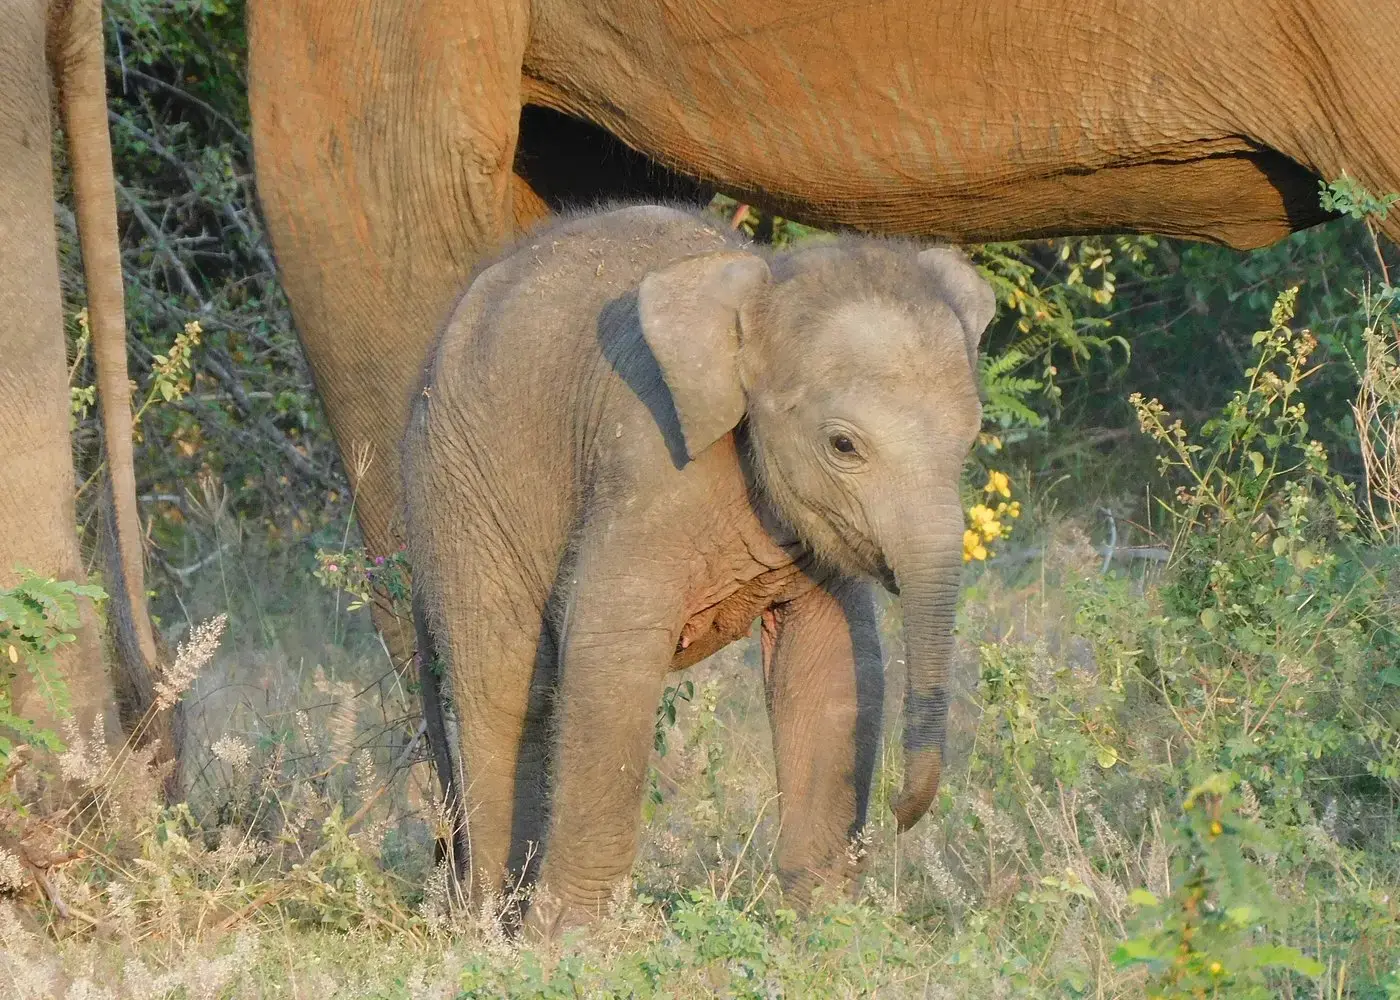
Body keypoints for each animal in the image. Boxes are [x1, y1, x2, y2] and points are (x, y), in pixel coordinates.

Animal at [402, 203, 995, 936]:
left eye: (970, 438)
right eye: (843, 445)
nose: (900, 813)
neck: (760, 290)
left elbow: (830, 663)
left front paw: (825, 929)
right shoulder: (648, 462)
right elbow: (611, 649)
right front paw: (569, 944)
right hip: (459, 486)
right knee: (501, 682)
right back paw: (486, 926)